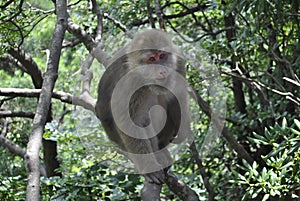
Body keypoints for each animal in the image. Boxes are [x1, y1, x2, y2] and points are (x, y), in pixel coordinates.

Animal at [95, 29, 191, 185]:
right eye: (151, 59)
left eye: (162, 56)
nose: (162, 71)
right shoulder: (129, 82)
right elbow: (129, 122)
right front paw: (149, 167)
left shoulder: (178, 63)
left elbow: (178, 96)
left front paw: (183, 130)